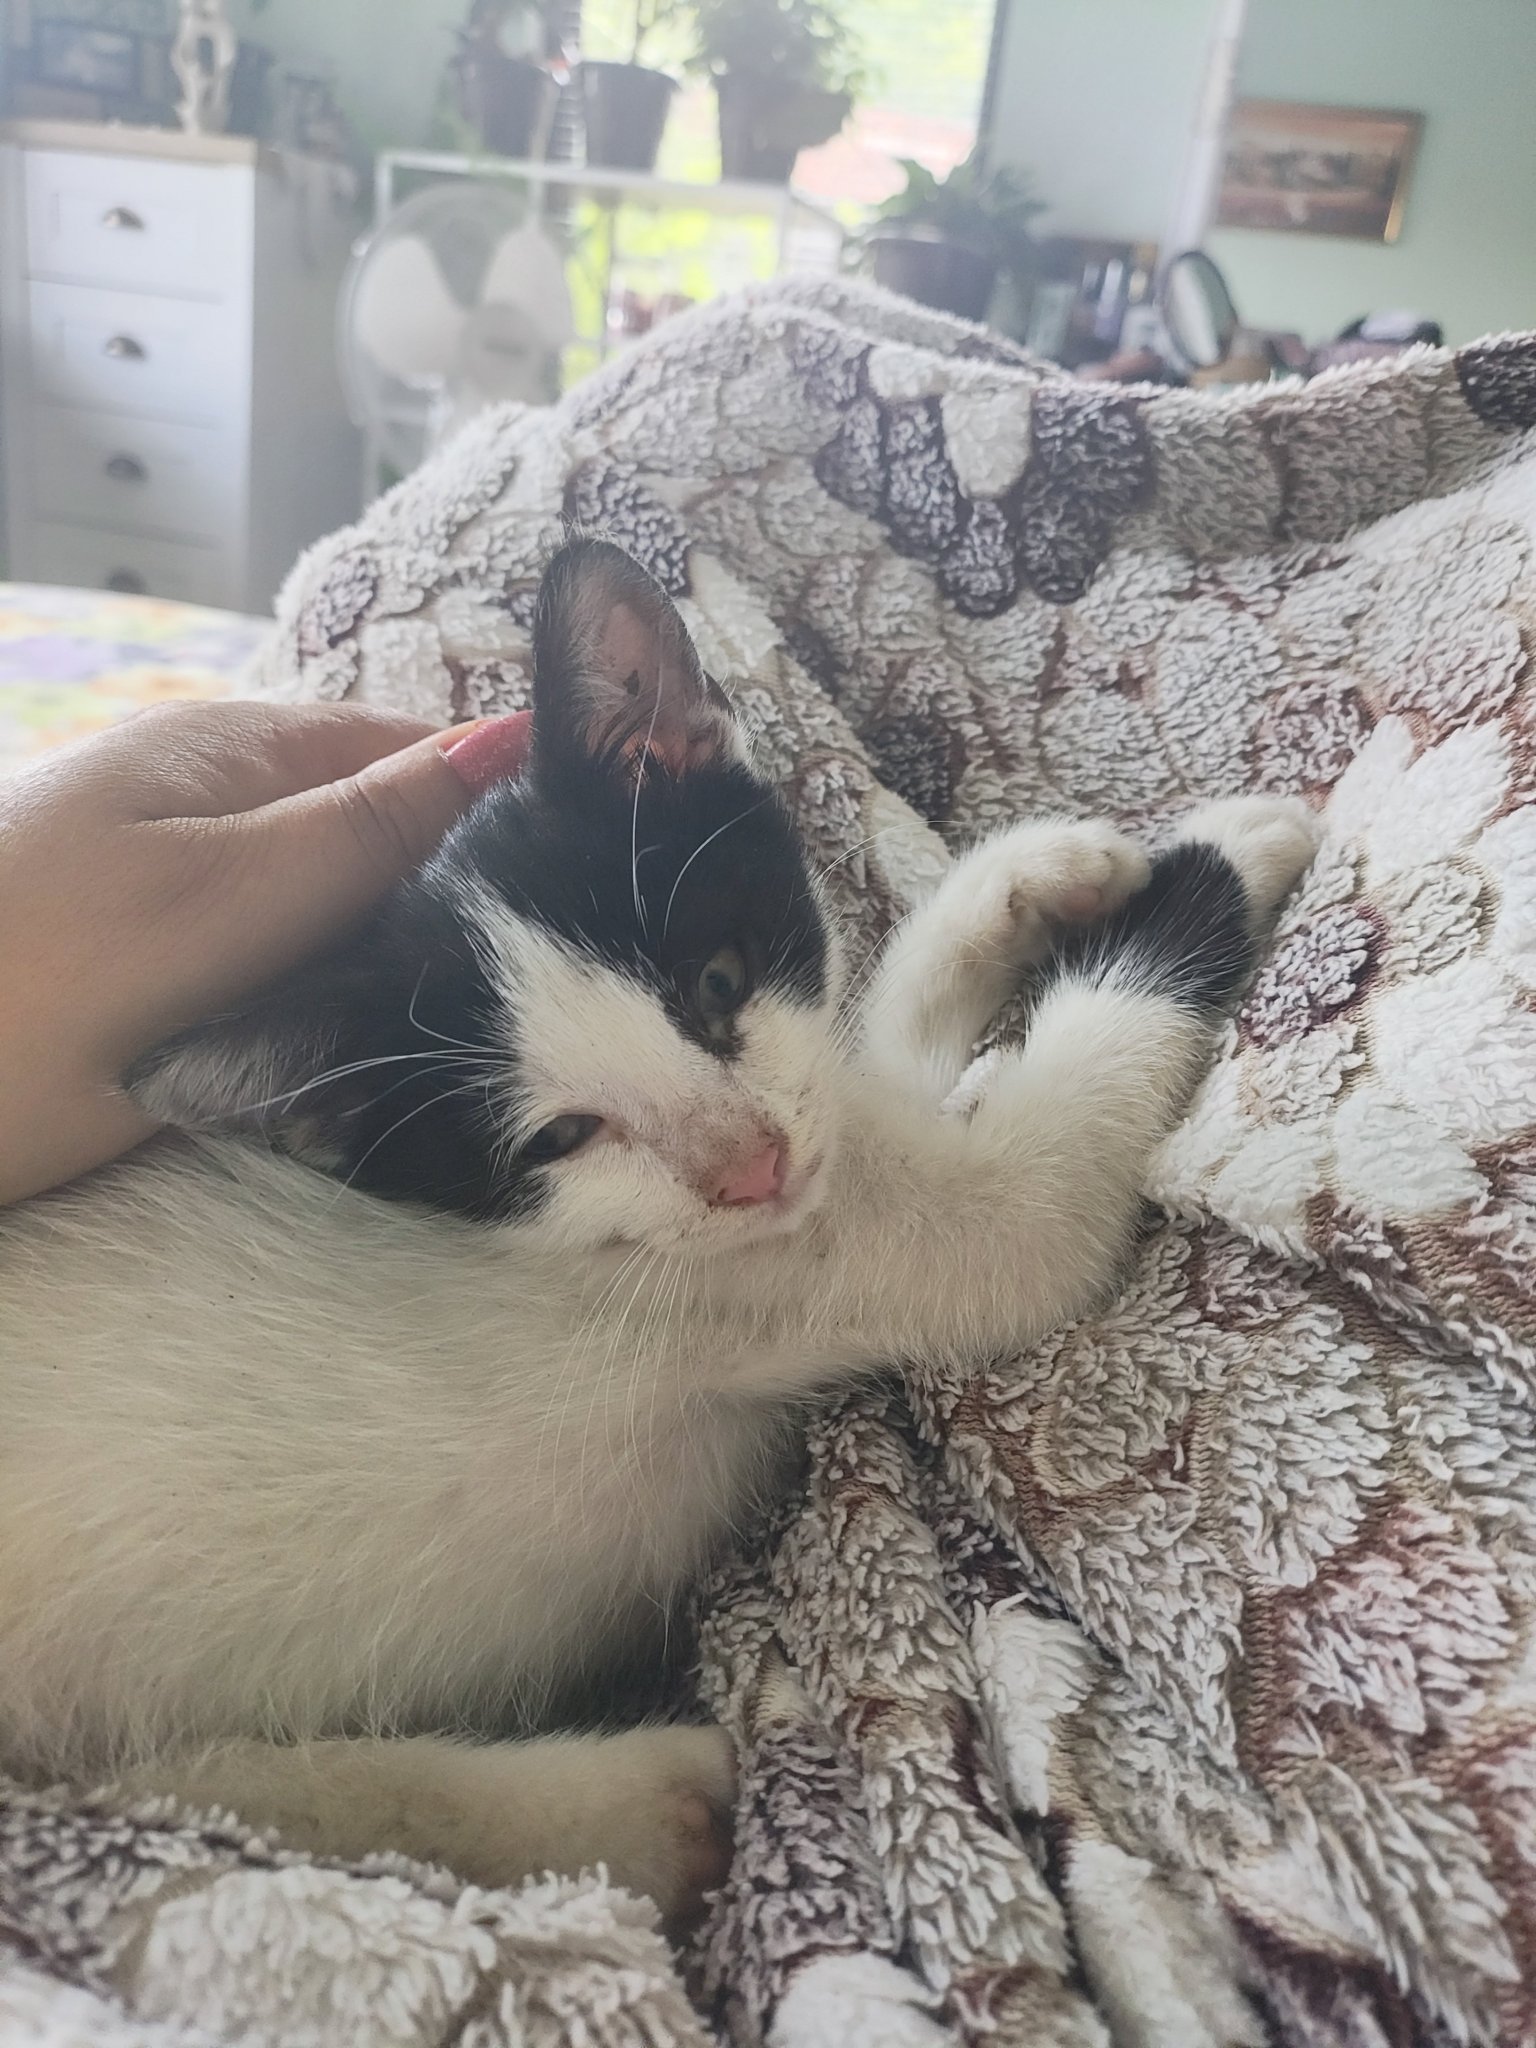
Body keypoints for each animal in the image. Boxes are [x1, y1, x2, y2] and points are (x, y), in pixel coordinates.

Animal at [0, 536, 1319, 1927]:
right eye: (558, 1139)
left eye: (717, 982)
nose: (749, 1168)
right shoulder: (822, 1259)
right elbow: (1038, 1193)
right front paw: (1227, 846)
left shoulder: (824, 1127)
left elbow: (872, 1053)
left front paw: (1033, 879)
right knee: (186, 1801)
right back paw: (632, 1807)